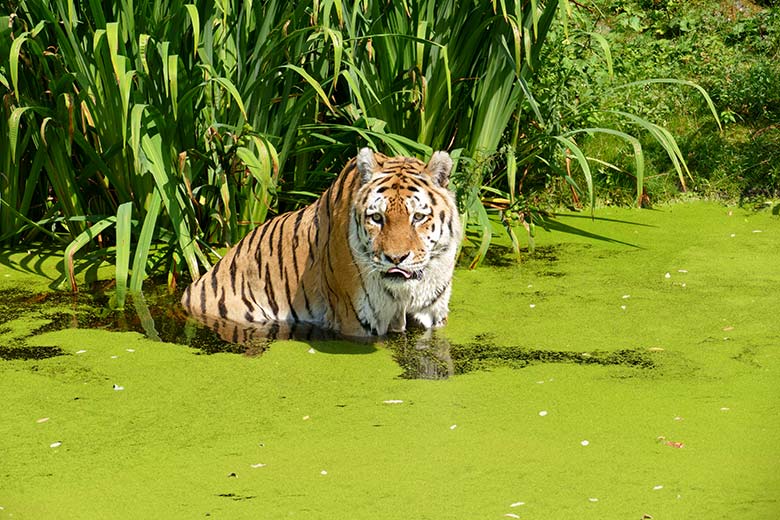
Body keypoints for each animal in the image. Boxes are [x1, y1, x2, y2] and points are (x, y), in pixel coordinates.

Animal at [181, 148, 464, 340]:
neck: (404, 293)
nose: (395, 259)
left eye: (418, 217)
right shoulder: (355, 321)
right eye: (377, 218)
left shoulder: (434, 315)